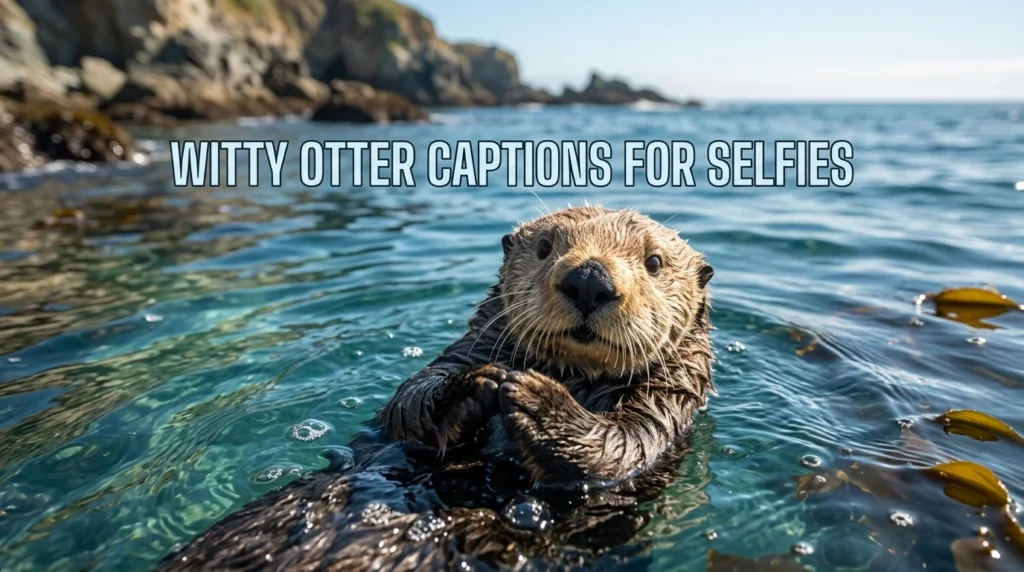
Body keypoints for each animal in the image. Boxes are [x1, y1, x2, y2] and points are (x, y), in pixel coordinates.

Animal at [167, 206, 714, 570]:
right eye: (544, 248)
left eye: (654, 262)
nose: (589, 278)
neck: (574, 376)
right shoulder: (469, 347)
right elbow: (407, 402)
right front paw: (476, 387)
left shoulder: (665, 404)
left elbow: (622, 448)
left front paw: (533, 399)